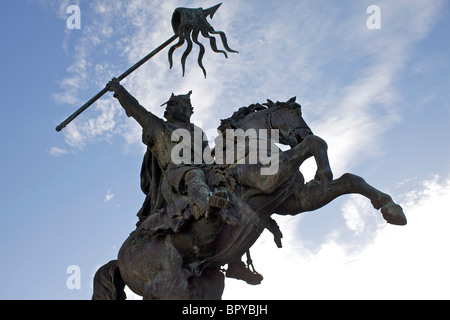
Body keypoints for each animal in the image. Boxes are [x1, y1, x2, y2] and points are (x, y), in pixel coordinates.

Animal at [92, 96, 408, 298]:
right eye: (294, 111)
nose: (299, 133)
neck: (245, 147)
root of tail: (121, 258)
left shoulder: (296, 200)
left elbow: (352, 180)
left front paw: (391, 208)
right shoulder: (268, 179)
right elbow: (316, 144)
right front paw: (324, 169)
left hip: (207, 284)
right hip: (169, 285)